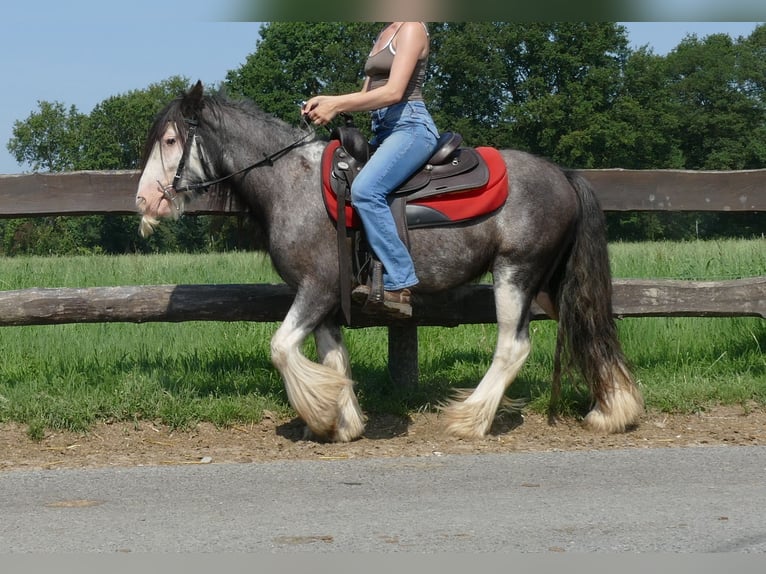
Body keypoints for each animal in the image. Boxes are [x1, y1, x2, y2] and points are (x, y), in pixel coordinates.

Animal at [135, 81, 644, 444]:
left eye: (170, 139)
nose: (143, 201)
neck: (292, 183)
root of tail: (563, 175)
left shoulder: (316, 288)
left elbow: (280, 349)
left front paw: (320, 413)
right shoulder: (324, 297)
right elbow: (333, 356)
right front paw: (342, 422)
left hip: (515, 274)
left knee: (513, 346)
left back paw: (470, 419)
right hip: (553, 281)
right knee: (588, 325)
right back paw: (611, 411)